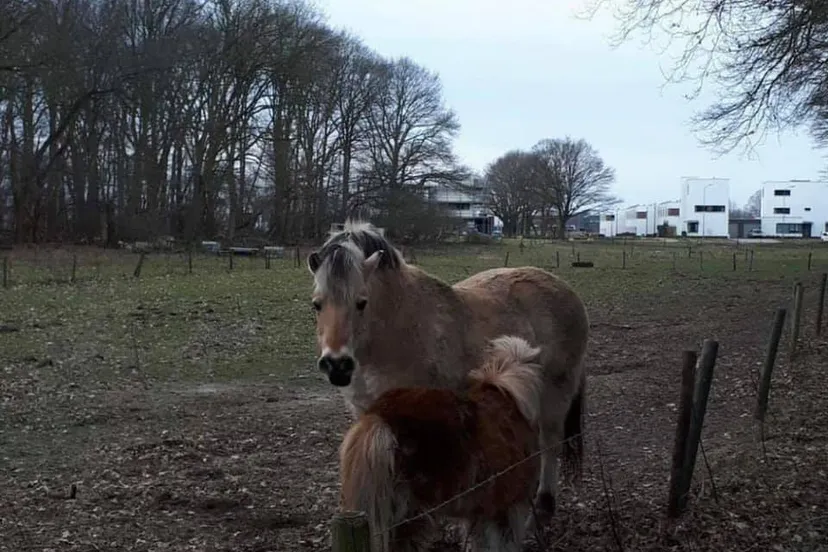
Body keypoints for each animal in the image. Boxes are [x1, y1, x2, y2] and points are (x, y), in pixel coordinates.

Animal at [307, 220, 589, 519]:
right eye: (317, 304)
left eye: (361, 302)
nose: (337, 364)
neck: (397, 330)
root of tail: (565, 290)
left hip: (556, 393)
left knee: (550, 443)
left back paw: (545, 502)